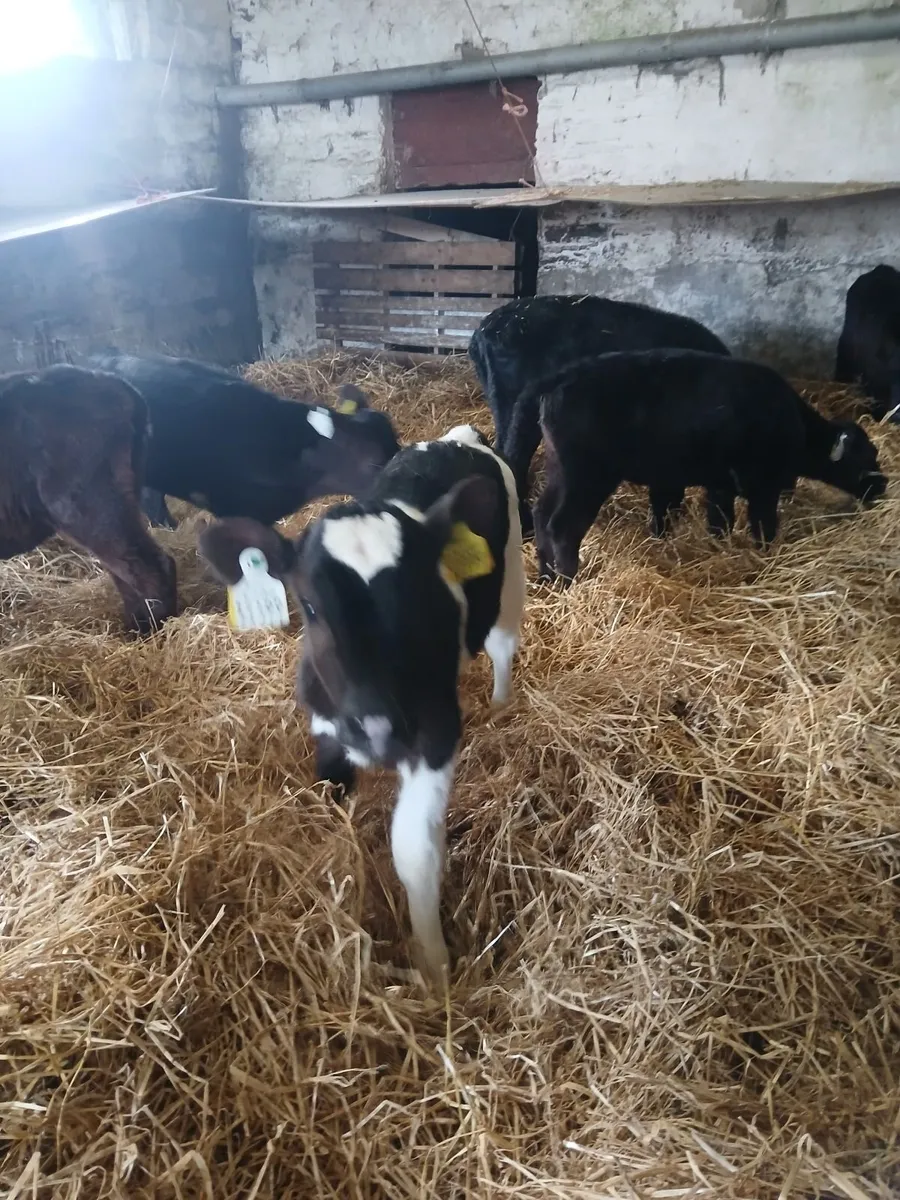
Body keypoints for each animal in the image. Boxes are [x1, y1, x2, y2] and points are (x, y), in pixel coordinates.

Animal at [197, 425, 526, 985]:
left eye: (420, 593)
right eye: (309, 604)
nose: (378, 729)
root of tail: (455, 437)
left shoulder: (436, 734)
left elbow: (415, 851)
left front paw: (434, 964)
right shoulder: (328, 727)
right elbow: (331, 794)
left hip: (510, 585)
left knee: (503, 648)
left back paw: (502, 707)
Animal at [530, 350, 887, 583]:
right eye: (863, 457)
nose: (881, 485)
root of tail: (559, 382)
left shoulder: (721, 485)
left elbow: (720, 522)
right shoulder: (763, 489)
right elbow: (763, 526)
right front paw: (766, 555)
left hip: (561, 473)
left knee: (541, 514)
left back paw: (547, 575)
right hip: (587, 478)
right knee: (562, 525)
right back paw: (568, 578)